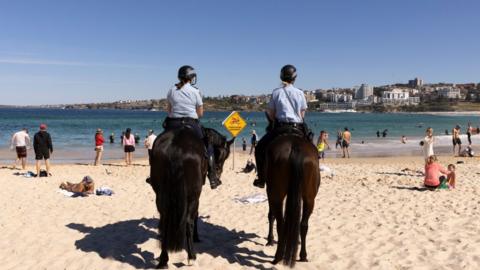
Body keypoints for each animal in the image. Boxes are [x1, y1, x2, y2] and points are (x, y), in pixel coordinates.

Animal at [149, 127, 233, 268]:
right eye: (224, 155)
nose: (218, 173)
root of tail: (176, 146)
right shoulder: (196, 196)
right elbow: (196, 215)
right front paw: (196, 237)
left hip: (160, 194)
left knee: (164, 220)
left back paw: (163, 259)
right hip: (193, 195)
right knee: (189, 221)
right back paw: (191, 256)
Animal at [264, 134, 320, 266]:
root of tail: (296, 146)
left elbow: (271, 215)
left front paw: (270, 239)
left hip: (275, 195)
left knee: (281, 223)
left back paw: (279, 256)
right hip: (309, 198)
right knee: (303, 224)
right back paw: (302, 256)